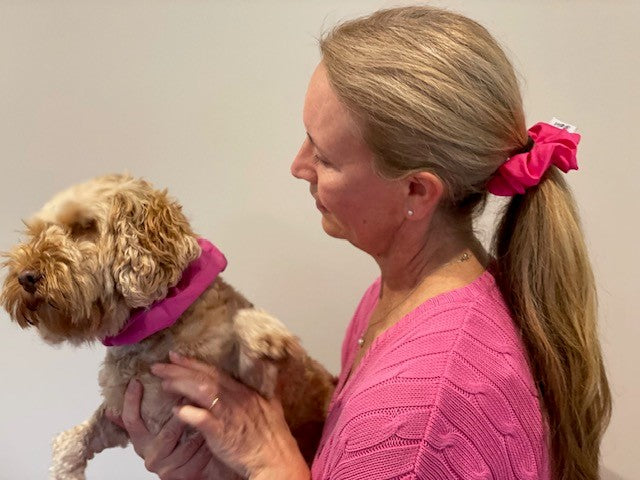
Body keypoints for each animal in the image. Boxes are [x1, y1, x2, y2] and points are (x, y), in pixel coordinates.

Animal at [0, 174, 338, 478]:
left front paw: (263, 332)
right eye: (38, 231)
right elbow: (72, 439)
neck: (152, 333)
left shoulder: (262, 387)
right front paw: (65, 471)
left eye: (85, 227)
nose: (25, 276)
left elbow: (252, 345)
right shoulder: (122, 417)